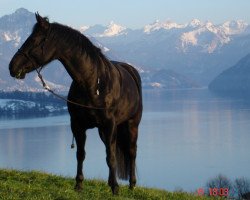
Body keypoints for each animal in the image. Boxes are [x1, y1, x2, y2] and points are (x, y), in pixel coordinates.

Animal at [8, 13, 142, 195]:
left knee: (131, 152)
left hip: (132, 124)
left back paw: (132, 185)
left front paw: (115, 188)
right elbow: (81, 154)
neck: (93, 83)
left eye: (35, 40)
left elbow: (111, 156)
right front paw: (79, 184)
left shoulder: (109, 125)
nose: (12, 66)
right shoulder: (78, 125)